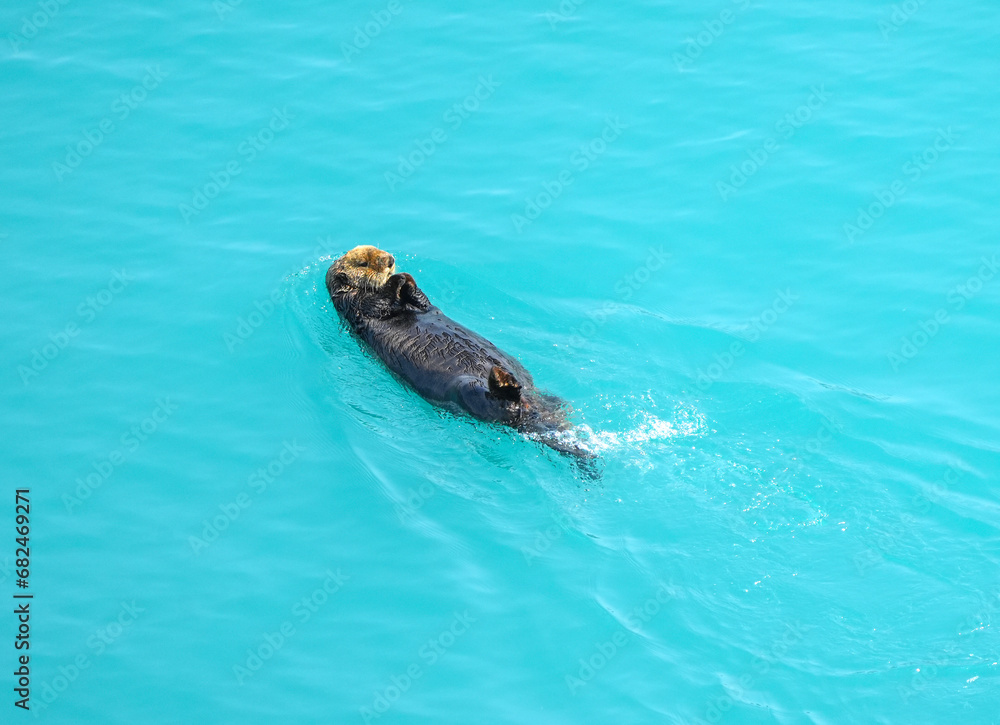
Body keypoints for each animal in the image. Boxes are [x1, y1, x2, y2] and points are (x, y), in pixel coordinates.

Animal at [326, 245, 597, 474]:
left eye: (378, 250)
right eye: (363, 263)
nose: (390, 260)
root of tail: (532, 413)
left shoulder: (420, 305)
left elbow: (422, 301)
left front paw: (407, 278)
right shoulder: (357, 305)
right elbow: (379, 304)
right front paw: (397, 279)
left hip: (541, 395)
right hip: (468, 391)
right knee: (500, 402)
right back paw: (502, 381)